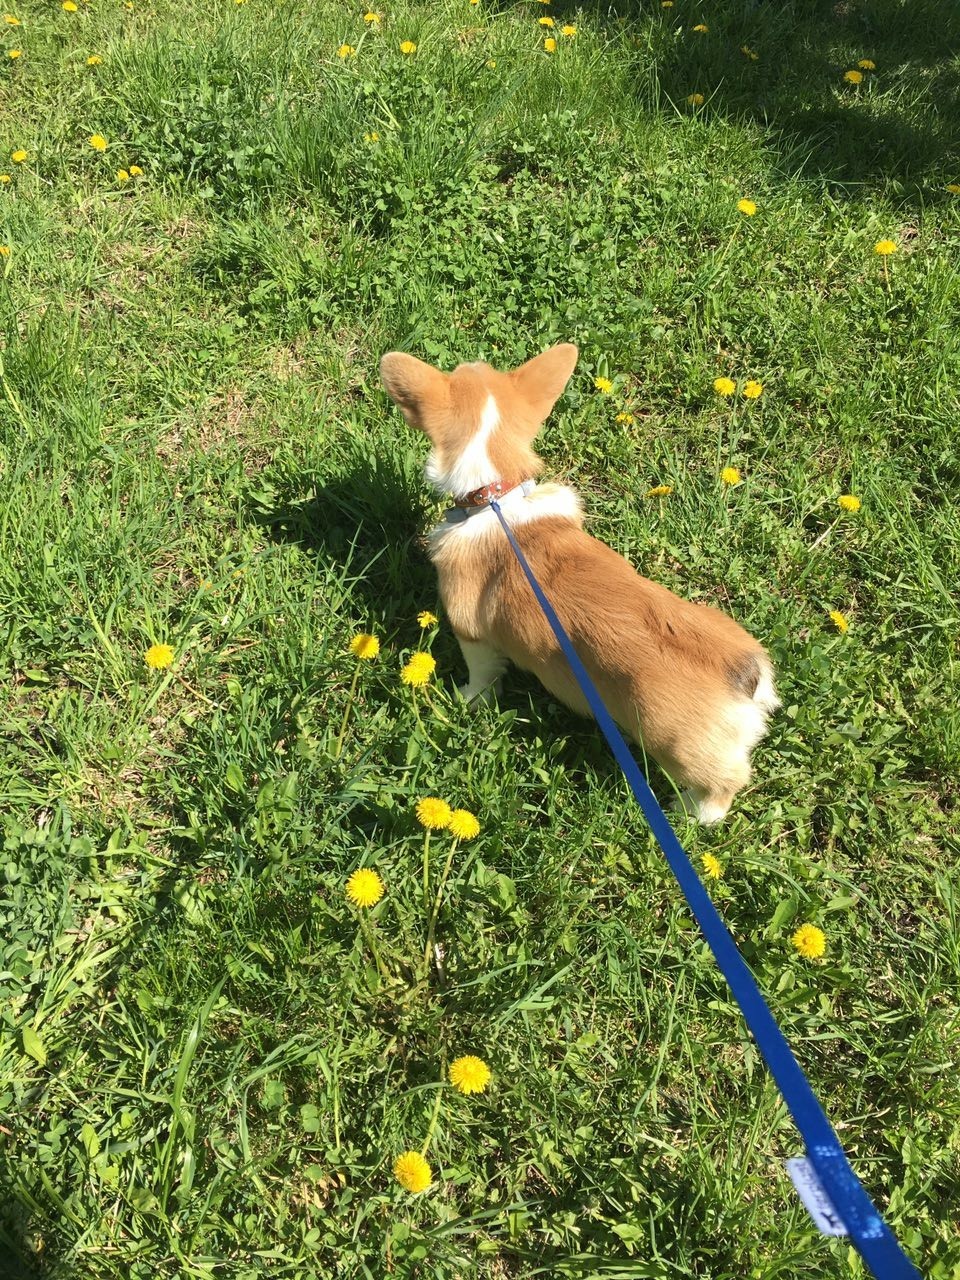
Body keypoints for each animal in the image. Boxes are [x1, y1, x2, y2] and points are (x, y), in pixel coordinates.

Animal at [378, 343, 778, 819]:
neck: (496, 496)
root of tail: (746, 675)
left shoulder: (471, 633)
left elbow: (482, 675)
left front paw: (467, 699)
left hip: (677, 745)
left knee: (724, 784)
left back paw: (689, 813)